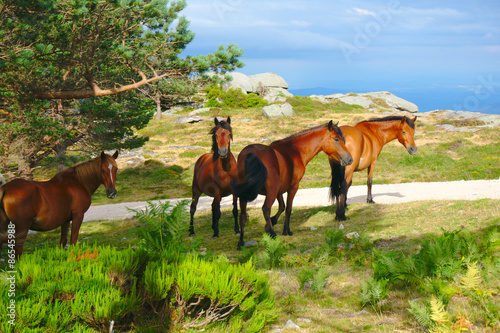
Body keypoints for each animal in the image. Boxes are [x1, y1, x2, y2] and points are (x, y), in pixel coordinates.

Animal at [232, 120, 354, 248]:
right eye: (336, 139)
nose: (350, 159)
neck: (295, 151)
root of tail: (249, 154)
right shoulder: (293, 187)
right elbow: (288, 208)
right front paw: (286, 230)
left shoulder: (279, 190)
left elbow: (282, 206)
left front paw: (272, 222)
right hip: (270, 192)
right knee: (265, 209)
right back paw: (273, 234)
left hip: (245, 195)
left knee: (243, 216)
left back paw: (241, 242)